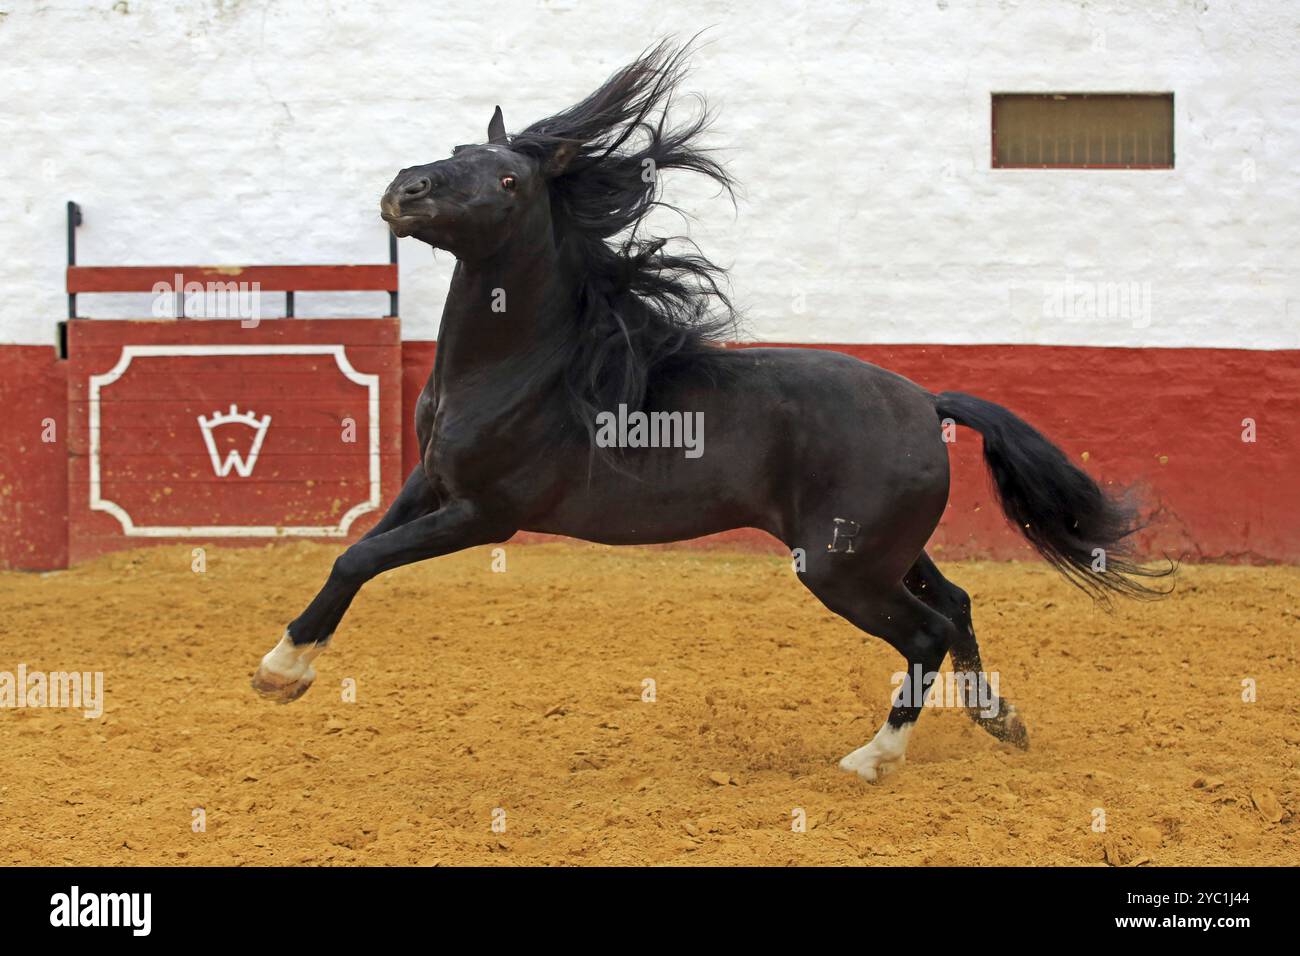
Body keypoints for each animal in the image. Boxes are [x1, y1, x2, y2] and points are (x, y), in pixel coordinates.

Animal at [250, 41, 1170, 780]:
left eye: (508, 178)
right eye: (455, 149)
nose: (406, 190)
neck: (523, 372)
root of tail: (924, 401)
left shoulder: (483, 512)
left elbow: (361, 558)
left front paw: (279, 676)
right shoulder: (429, 484)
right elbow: (353, 555)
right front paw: (284, 662)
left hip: (840, 566)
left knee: (925, 634)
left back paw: (873, 759)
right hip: (882, 550)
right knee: (958, 604)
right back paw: (997, 718)